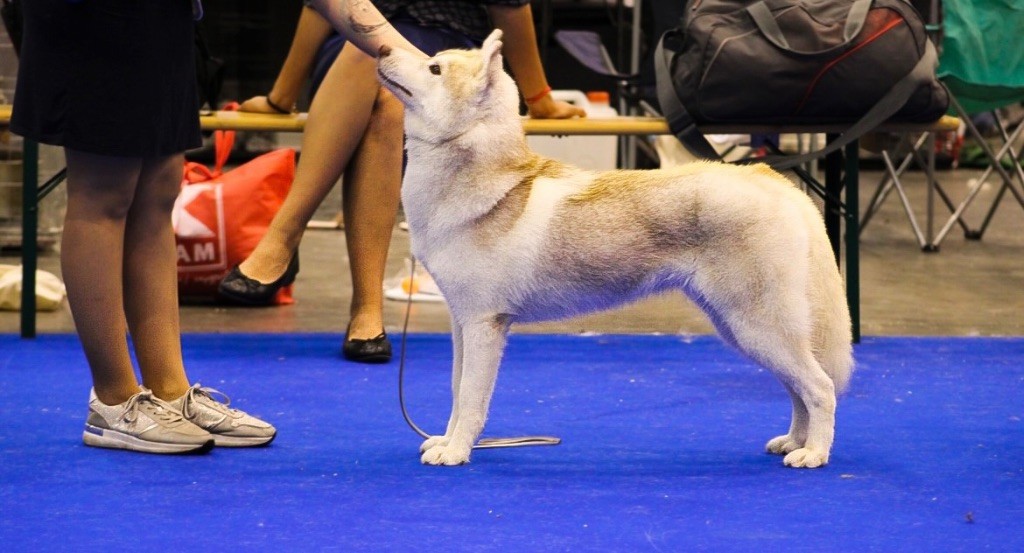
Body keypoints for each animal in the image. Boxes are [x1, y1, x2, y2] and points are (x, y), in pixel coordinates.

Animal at [380, 30, 851, 469]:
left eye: (434, 68)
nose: (382, 50)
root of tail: (770, 179)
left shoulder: (484, 325)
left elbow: (472, 400)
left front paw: (457, 452)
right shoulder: (463, 325)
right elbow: (456, 393)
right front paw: (445, 441)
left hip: (758, 326)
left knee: (821, 387)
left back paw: (814, 453)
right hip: (741, 329)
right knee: (798, 388)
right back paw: (794, 442)